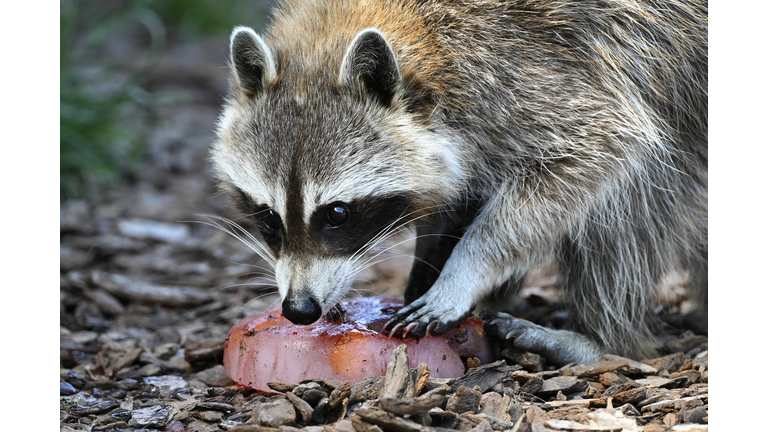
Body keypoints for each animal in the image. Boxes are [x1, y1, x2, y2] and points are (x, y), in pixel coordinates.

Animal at [210, 0, 708, 364]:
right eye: (267, 216)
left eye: (337, 213)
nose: (299, 309)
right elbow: (455, 191)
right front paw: (431, 255)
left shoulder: (536, 71)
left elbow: (595, 151)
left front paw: (463, 272)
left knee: (629, 209)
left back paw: (598, 340)